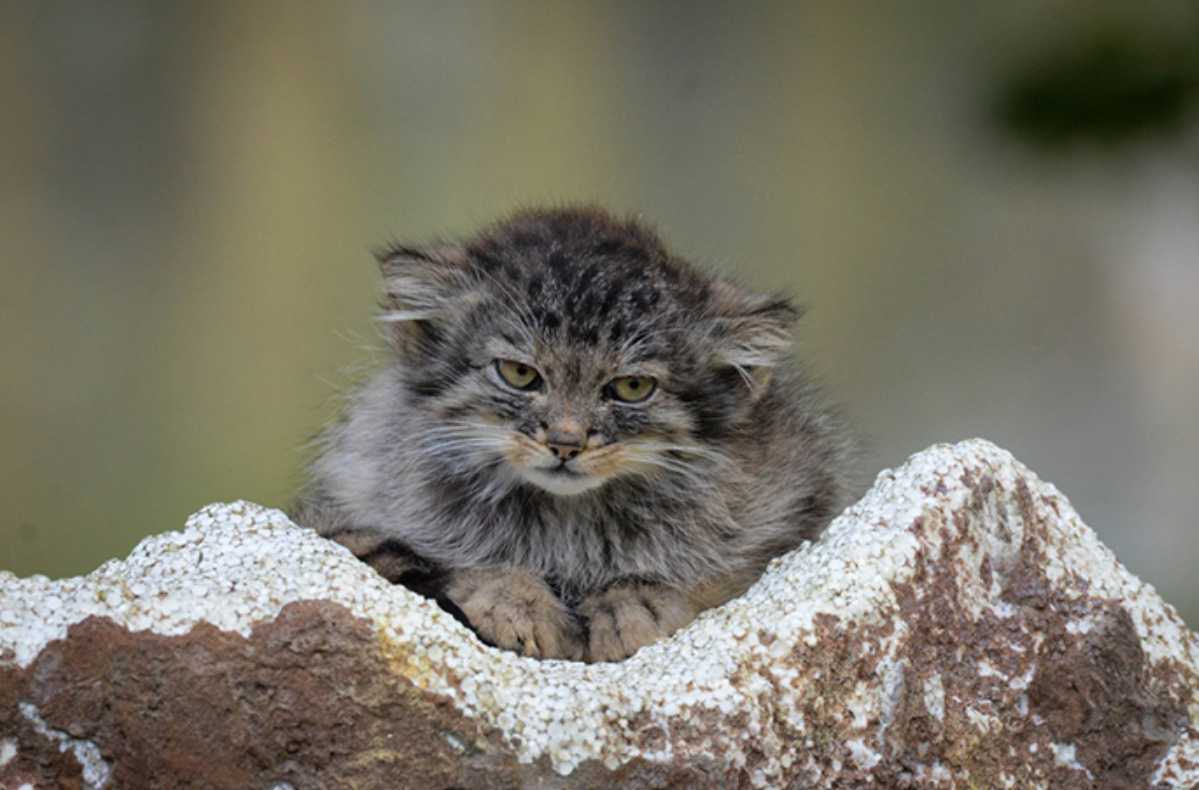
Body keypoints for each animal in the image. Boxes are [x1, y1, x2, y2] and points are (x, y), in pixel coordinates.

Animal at [290, 208, 853, 661]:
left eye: (631, 387)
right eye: (519, 374)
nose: (565, 442)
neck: (566, 528)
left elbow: (712, 579)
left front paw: (633, 604)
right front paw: (515, 598)